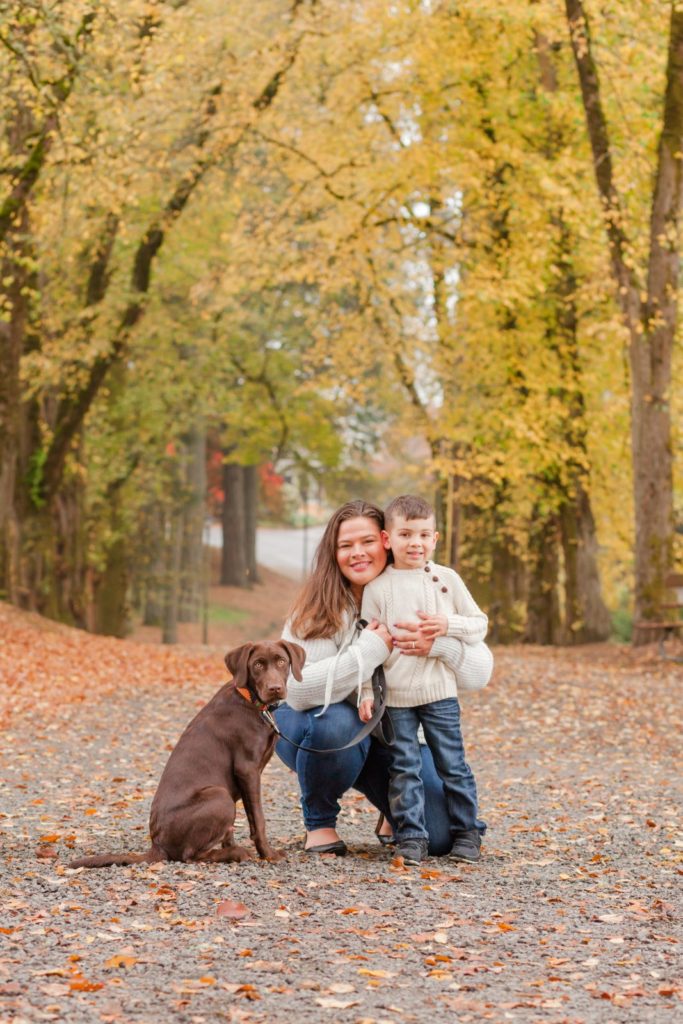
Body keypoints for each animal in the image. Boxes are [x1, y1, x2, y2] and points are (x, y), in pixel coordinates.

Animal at [68, 643, 305, 868]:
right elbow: (258, 819)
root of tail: (157, 844)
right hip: (219, 795)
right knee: (190, 855)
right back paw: (235, 854)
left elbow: (234, 828)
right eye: (257, 665)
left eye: (282, 661)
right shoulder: (247, 769)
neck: (251, 699)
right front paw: (268, 854)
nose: (275, 688)